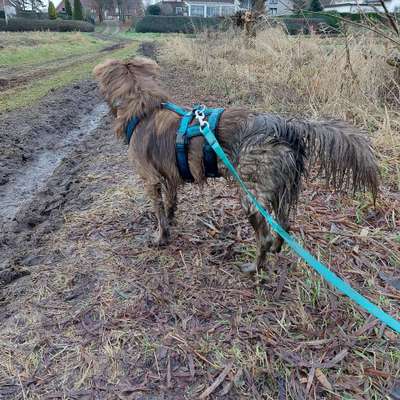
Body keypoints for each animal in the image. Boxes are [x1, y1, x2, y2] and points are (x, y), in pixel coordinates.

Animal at [93, 56, 378, 274]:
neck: (144, 107)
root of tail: (286, 126)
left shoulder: (150, 179)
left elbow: (159, 213)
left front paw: (160, 237)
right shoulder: (170, 176)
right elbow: (170, 204)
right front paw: (171, 221)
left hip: (250, 195)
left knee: (264, 236)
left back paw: (255, 268)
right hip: (284, 188)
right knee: (284, 225)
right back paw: (276, 248)